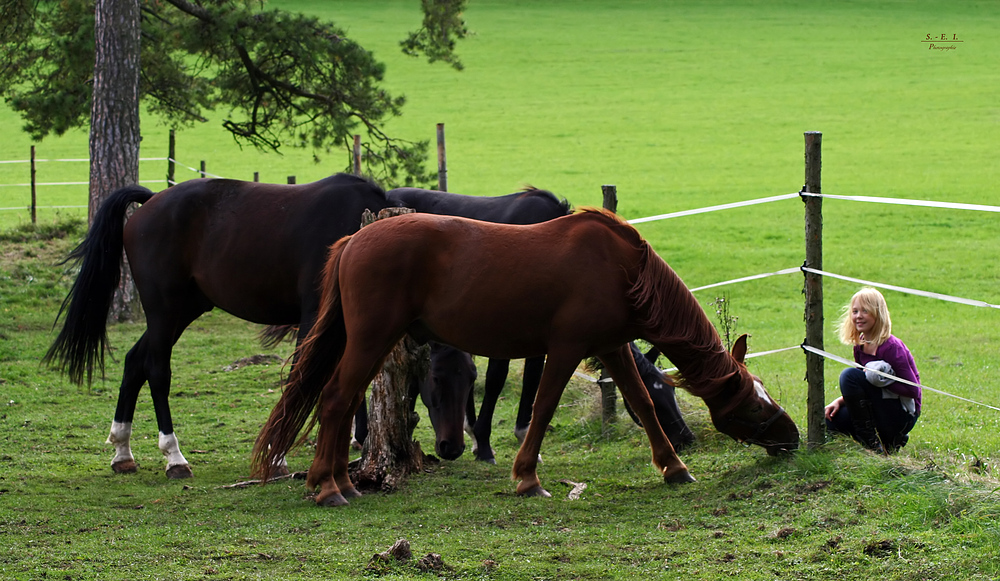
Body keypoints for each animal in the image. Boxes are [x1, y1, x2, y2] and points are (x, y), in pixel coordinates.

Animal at [44, 173, 394, 480]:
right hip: (163, 310)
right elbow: (301, 380)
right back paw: (174, 457)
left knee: (134, 362)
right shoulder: (313, 319)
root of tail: (152, 200)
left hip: (185, 309)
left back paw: (122, 452)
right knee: (156, 370)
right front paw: (277, 456)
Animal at [254, 208, 800, 502]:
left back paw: (341, 483)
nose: (792, 438)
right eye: (755, 407)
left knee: (344, 402)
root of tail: (354, 239)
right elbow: (543, 407)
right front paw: (527, 478)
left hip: (374, 341)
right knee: (334, 399)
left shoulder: (612, 348)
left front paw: (674, 468)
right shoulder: (564, 349)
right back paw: (328, 489)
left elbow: (642, 405)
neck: (624, 270)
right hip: (372, 338)